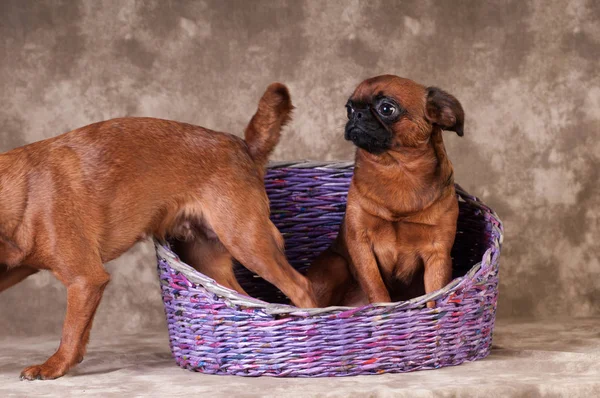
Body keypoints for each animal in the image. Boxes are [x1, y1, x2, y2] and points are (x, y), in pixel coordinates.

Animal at [0, 81, 316, 380]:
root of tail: (243, 146)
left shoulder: (85, 279)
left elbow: (69, 330)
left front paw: (53, 366)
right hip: (209, 259)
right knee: (243, 298)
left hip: (247, 240)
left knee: (300, 286)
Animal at [310, 75, 464, 310]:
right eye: (349, 109)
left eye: (386, 108)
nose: (357, 114)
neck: (396, 169)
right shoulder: (361, 244)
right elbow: (376, 288)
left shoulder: (437, 254)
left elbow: (434, 295)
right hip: (336, 264)